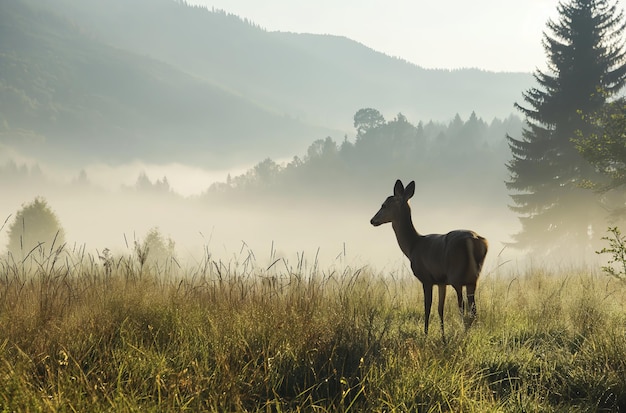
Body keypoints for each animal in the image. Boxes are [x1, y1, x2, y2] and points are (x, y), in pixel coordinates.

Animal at [370, 179, 488, 340]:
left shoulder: (426, 278)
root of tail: (473, 239)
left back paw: (462, 335)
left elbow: (427, 307)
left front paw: (425, 334)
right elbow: (440, 308)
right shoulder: (441, 281)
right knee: (473, 309)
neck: (413, 246)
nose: (372, 220)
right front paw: (442, 336)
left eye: (384, 205)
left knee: (462, 307)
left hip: (457, 276)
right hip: (473, 278)